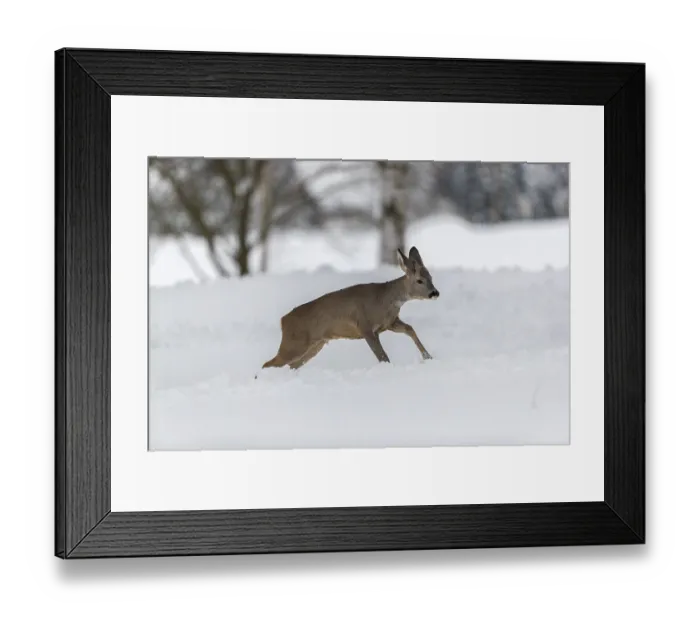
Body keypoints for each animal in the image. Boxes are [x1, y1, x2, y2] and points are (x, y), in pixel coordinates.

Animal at [259, 246, 440, 372]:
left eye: (431, 277)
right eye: (419, 280)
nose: (435, 293)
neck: (385, 299)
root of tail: (283, 321)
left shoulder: (390, 323)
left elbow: (410, 329)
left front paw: (428, 356)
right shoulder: (365, 325)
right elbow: (383, 356)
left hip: (314, 346)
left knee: (289, 366)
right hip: (294, 343)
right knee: (267, 364)